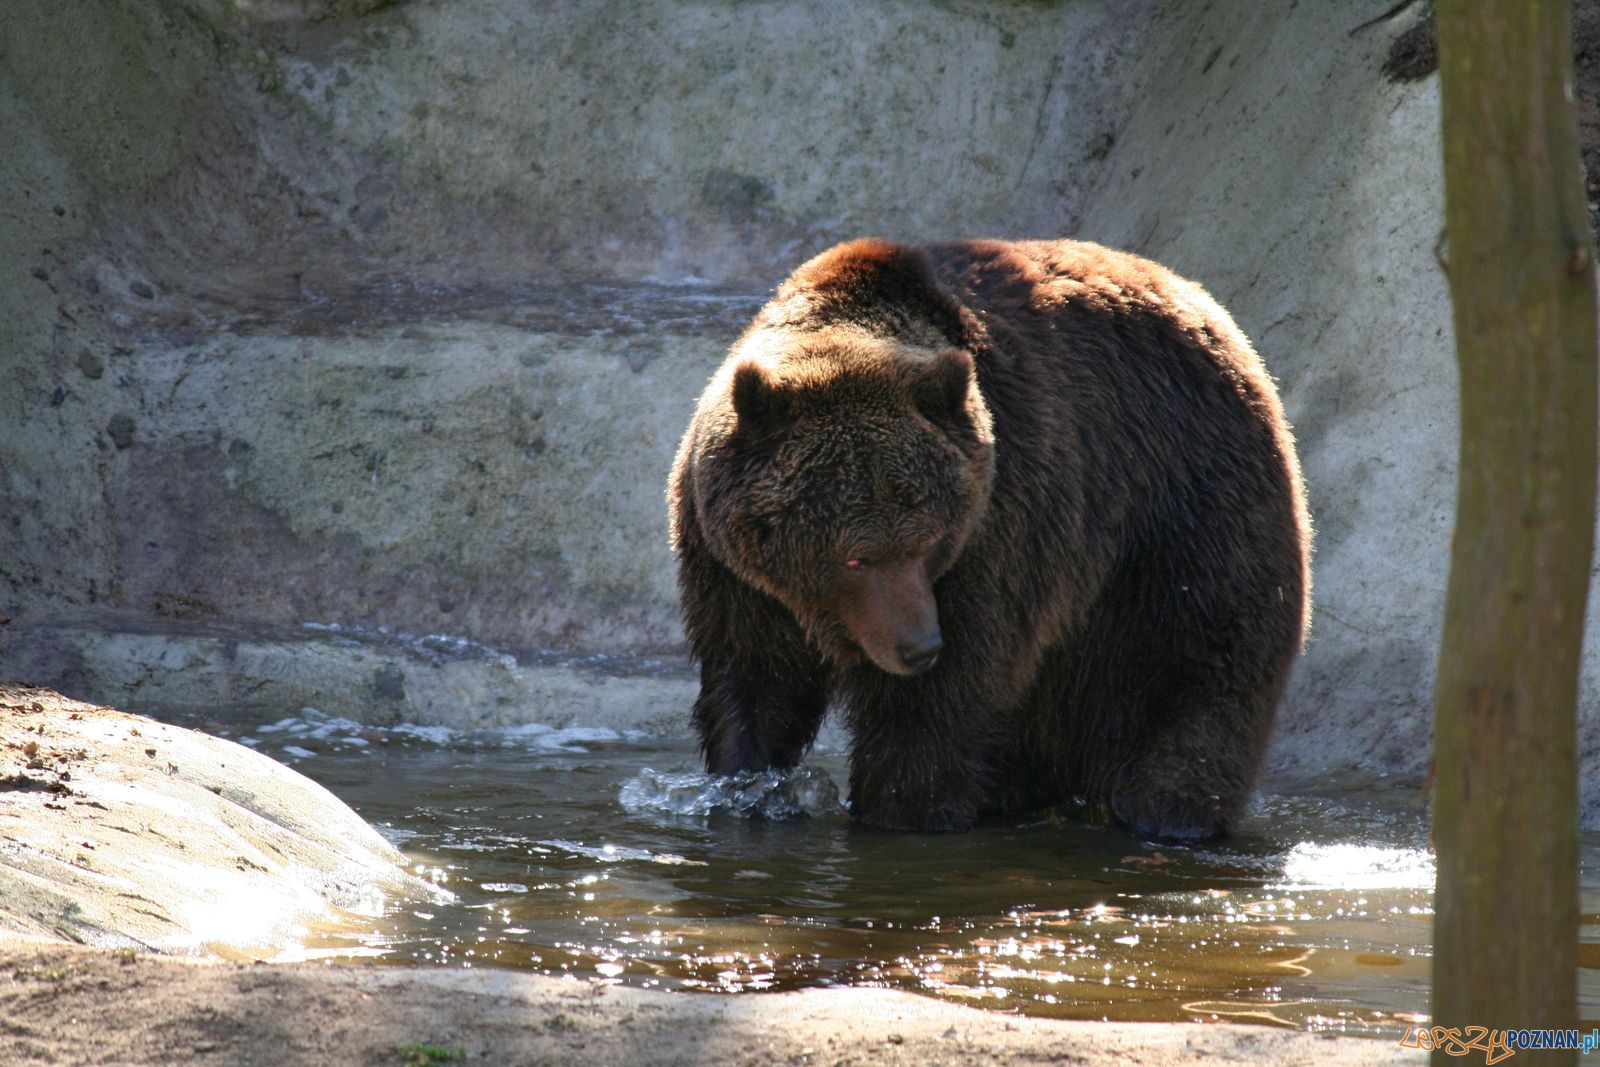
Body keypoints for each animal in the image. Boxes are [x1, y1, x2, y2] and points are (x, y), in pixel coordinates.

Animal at [668, 239, 1305, 844]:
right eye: (855, 558)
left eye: (927, 543)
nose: (920, 647)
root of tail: (1207, 309)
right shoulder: (734, 575)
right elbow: (754, 684)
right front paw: (747, 790)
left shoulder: (999, 532)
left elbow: (942, 705)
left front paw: (901, 809)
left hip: (1178, 517)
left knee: (1197, 676)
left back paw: (1169, 814)